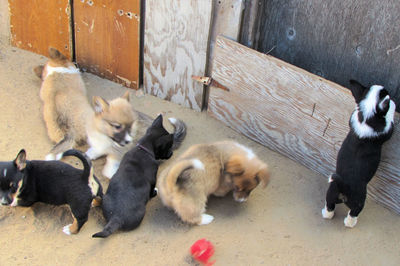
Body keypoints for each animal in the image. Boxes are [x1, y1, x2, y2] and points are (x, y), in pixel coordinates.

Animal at [322, 80, 396, 228]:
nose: (391, 98)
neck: (367, 116)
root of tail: (344, 186)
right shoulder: (386, 130)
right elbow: (389, 123)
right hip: (359, 201)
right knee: (352, 214)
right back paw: (350, 223)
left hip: (331, 192)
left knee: (329, 207)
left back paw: (325, 213)